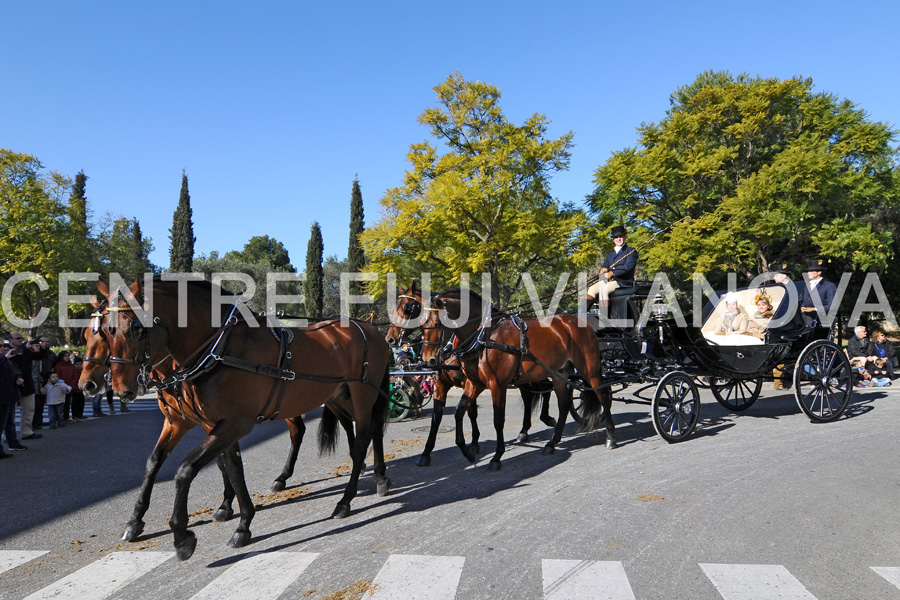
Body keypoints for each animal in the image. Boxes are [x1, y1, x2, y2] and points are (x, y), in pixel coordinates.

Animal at [94, 276, 390, 556]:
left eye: (136, 328)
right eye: (106, 331)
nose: (120, 389)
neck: (220, 348)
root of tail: (371, 330)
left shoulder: (234, 424)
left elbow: (186, 469)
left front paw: (182, 535)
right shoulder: (203, 423)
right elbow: (223, 467)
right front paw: (242, 520)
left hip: (362, 395)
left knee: (362, 439)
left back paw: (345, 500)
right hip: (339, 396)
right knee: (370, 429)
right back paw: (379, 478)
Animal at [386, 288, 556, 466]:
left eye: (407, 308)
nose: (390, 338)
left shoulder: (469, 381)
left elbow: (471, 412)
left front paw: (474, 444)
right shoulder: (442, 384)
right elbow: (437, 417)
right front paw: (426, 452)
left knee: (545, 389)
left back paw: (546, 419)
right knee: (530, 396)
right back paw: (524, 430)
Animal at [418, 288, 616, 472]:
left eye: (437, 323)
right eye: (421, 325)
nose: (428, 360)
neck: (484, 336)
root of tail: (580, 323)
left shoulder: (497, 385)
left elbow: (498, 420)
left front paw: (497, 456)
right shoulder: (474, 383)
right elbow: (458, 412)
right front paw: (467, 451)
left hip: (589, 371)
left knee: (603, 396)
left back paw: (610, 437)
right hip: (558, 373)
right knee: (564, 404)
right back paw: (552, 443)